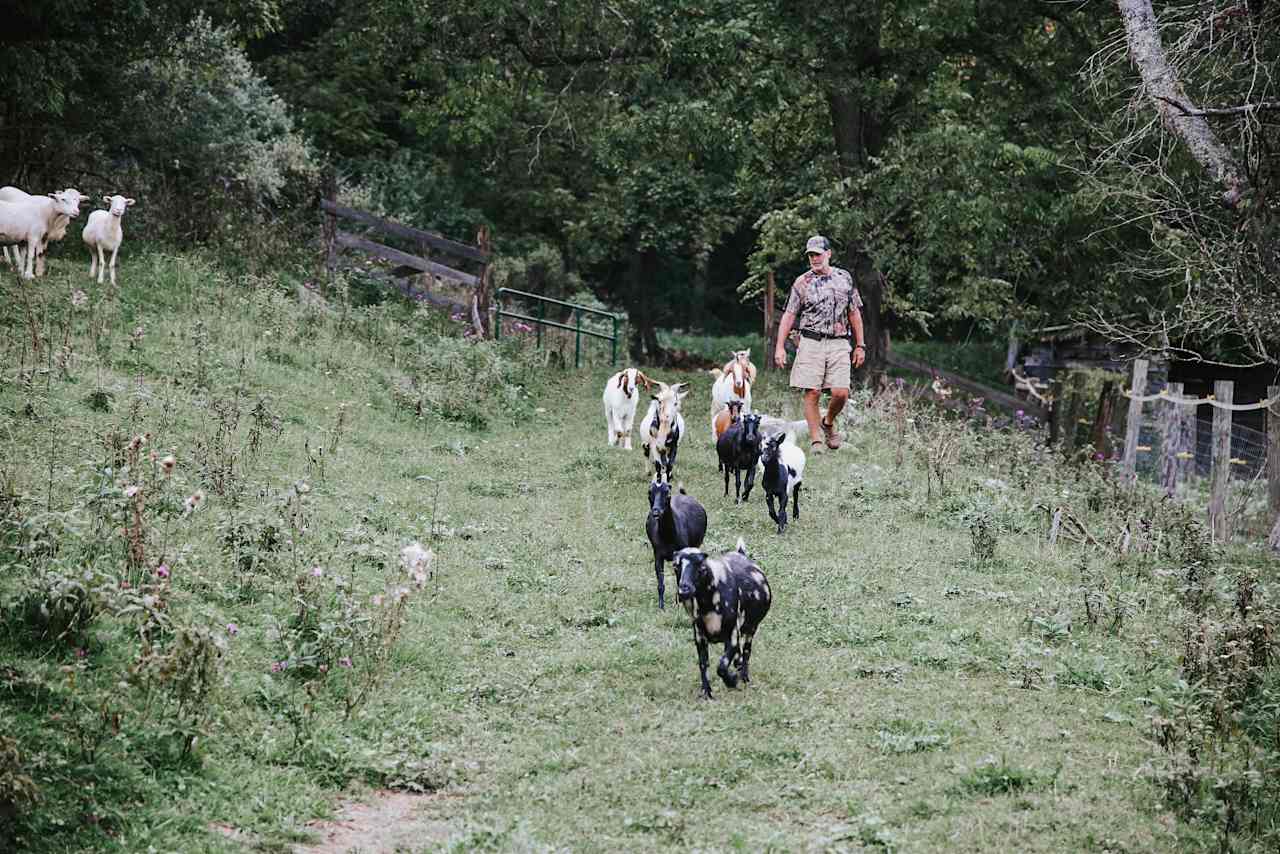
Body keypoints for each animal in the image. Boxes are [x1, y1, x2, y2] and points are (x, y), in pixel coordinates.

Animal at [675, 540, 773, 701]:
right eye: (676, 566)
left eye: (702, 567)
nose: (684, 590)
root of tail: (740, 553)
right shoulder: (700, 637)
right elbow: (703, 664)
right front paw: (706, 693)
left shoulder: (732, 636)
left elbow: (721, 666)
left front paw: (732, 681)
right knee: (739, 657)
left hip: (750, 629)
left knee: (746, 652)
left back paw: (743, 677)